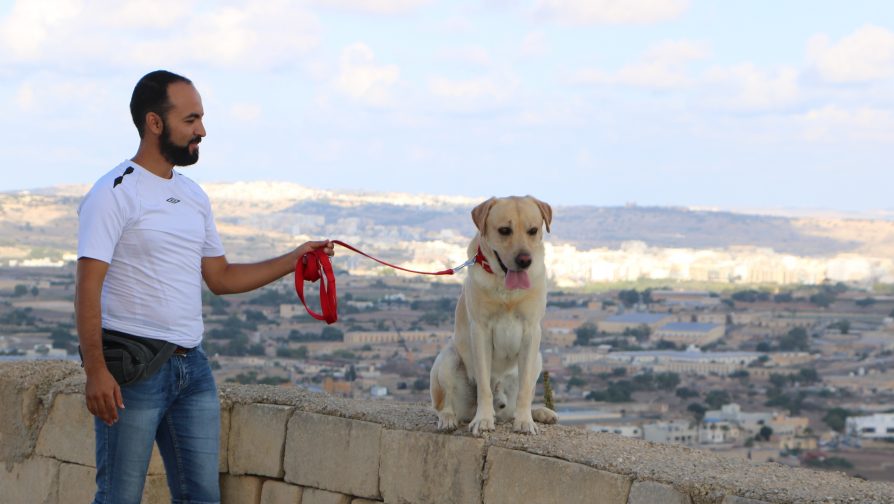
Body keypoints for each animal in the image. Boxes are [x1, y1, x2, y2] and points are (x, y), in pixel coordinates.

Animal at [432, 195, 560, 436]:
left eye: (533, 230)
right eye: (504, 230)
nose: (524, 260)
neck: (505, 289)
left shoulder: (531, 331)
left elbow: (525, 390)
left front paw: (525, 421)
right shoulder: (481, 330)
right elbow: (484, 386)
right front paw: (483, 420)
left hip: (537, 360)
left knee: (515, 405)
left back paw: (540, 413)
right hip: (447, 358)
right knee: (444, 405)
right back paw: (448, 419)